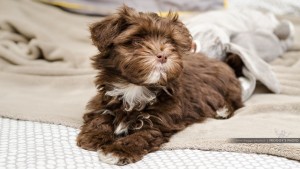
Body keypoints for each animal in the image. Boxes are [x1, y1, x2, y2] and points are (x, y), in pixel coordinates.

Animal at [76, 6, 243, 165]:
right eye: (136, 41)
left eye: (170, 42)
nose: (163, 56)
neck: (136, 87)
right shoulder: (105, 99)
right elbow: (100, 116)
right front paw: (94, 136)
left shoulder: (158, 122)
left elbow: (141, 136)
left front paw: (118, 151)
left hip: (227, 88)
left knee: (236, 101)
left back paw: (223, 110)